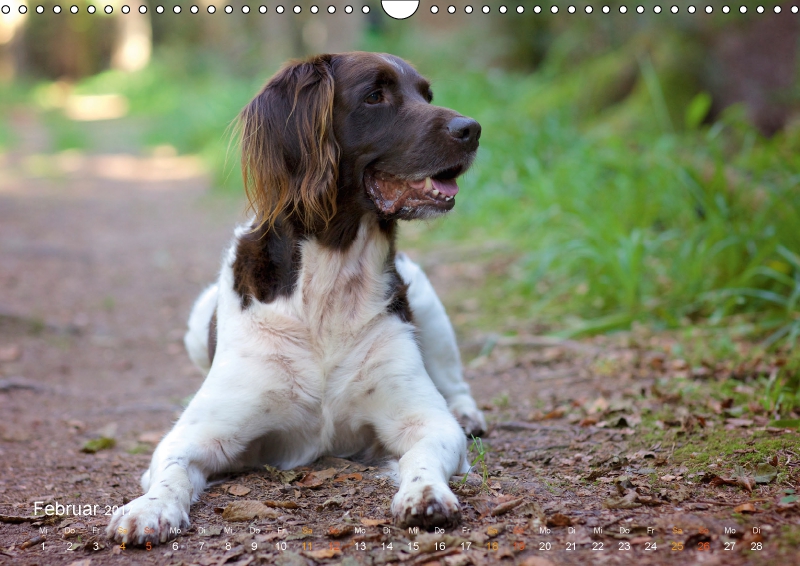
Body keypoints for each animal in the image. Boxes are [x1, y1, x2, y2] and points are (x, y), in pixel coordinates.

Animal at [108, 52, 484, 544]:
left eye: (426, 94)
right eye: (374, 95)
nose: (472, 128)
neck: (332, 280)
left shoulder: (422, 417)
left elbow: (424, 453)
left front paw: (425, 495)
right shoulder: (198, 433)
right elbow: (170, 470)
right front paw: (148, 509)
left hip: (427, 301)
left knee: (455, 384)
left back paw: (468, 414)